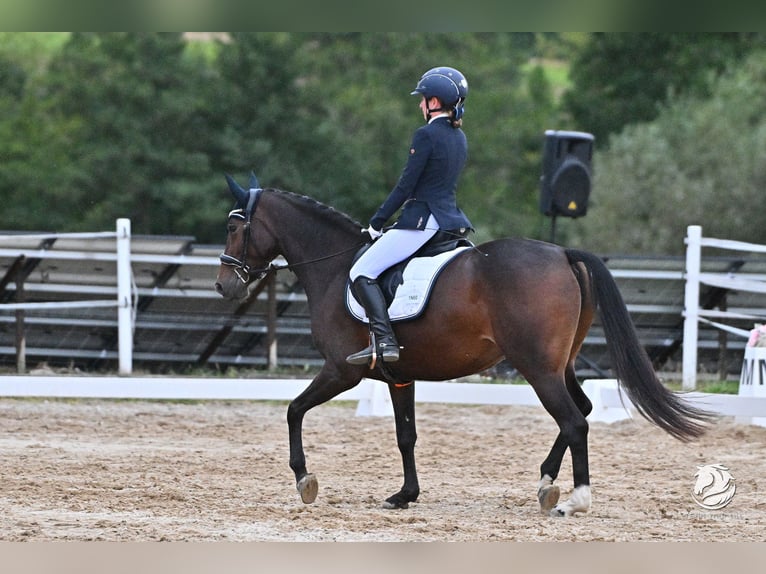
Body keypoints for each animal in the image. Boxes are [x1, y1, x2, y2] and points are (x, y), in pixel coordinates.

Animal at [212, 173, 712, 520]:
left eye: (235, 228)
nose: (223, 286)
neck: (335, 268)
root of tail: (562, 253)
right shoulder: (399, 375)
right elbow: (406, 436)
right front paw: (405, 496)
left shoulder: (342, 369)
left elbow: (294, 410)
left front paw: (305, 480)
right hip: (561, 364)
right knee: (583, 411)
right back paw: (546, 482)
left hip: (537, 367)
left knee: (574, 421)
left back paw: (573, 501)